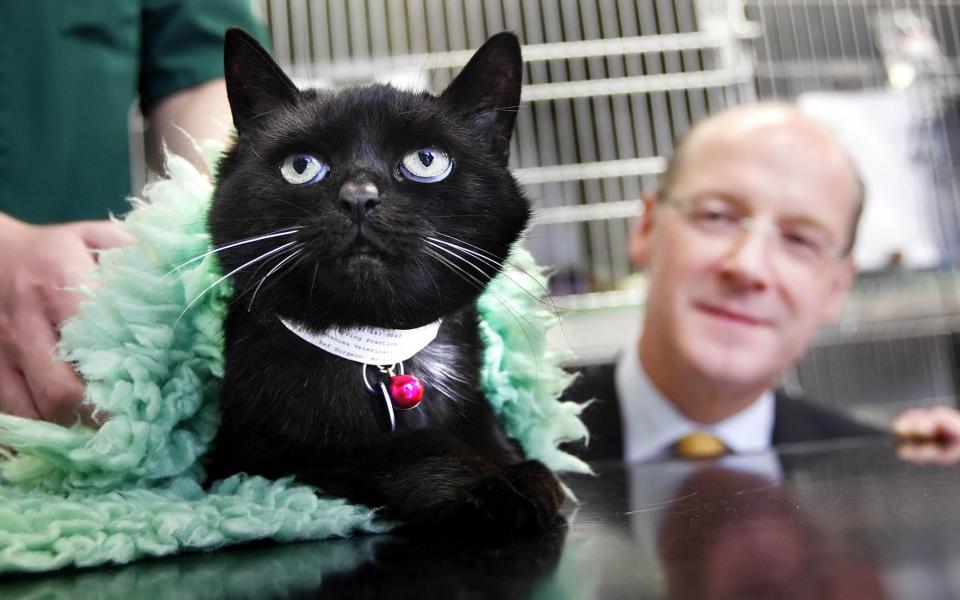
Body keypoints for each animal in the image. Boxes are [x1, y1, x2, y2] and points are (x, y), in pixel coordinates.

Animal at [203, 30, 564, 536]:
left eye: (426, 160)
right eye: (301, 165)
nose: (358, 197)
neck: (383, 351)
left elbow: (488, 428)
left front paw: (525, 470)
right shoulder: (259, 455)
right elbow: (396, 448)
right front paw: (488, 485)